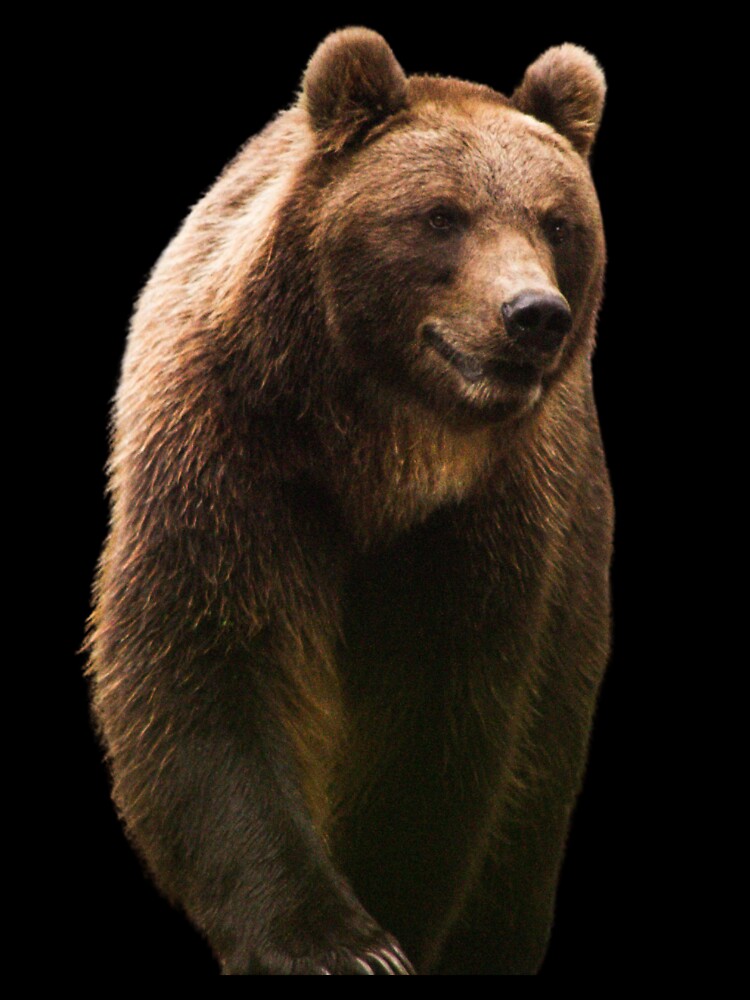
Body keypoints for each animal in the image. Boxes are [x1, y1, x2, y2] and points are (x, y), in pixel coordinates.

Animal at [86, 28, 613, 975]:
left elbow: (440, 724)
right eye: (441, 215)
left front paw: (388, 913)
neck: (385, 452)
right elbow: (206, 671)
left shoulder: (492, 523)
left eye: (557, 222)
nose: (532, 314)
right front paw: (334, 940)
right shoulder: (229, 456)